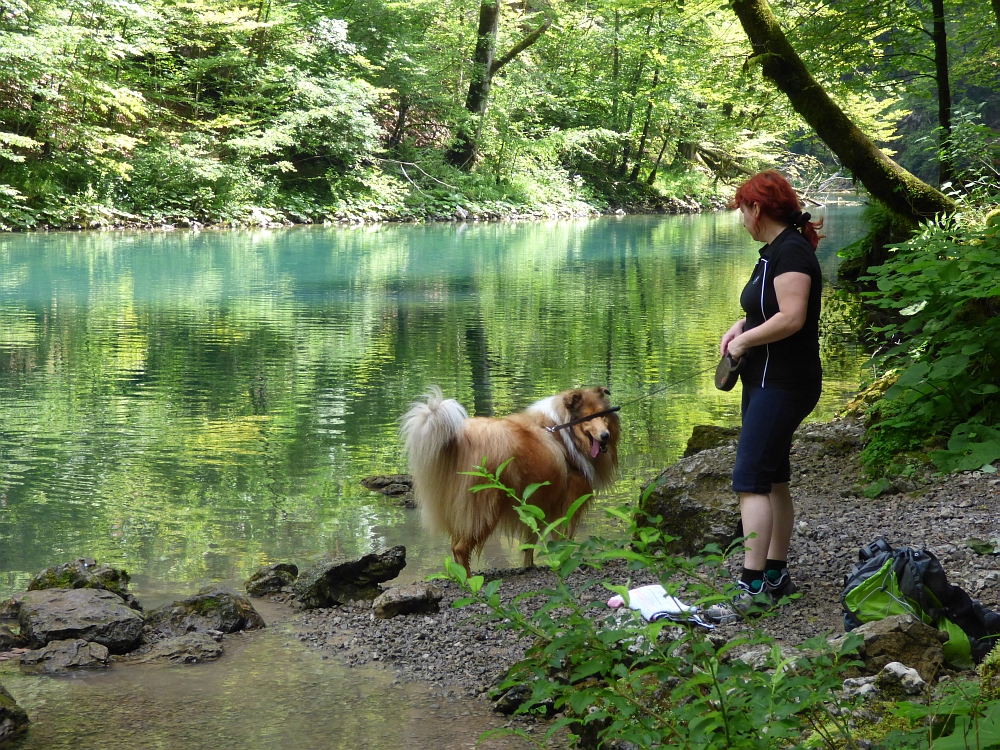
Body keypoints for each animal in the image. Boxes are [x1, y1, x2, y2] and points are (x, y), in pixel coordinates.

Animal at [398, 388, 616, 576]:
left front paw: (529, 566)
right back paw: (470, 581)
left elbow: (530, 541)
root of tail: (455, 439)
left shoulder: (535, 503)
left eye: (603, 415)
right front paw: (569, 564)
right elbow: (564, 540)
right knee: (460, 548)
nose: (605, 436)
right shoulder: (568, 503)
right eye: (588, 417)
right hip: (483, 511)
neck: (565, 432)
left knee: (455, 545)